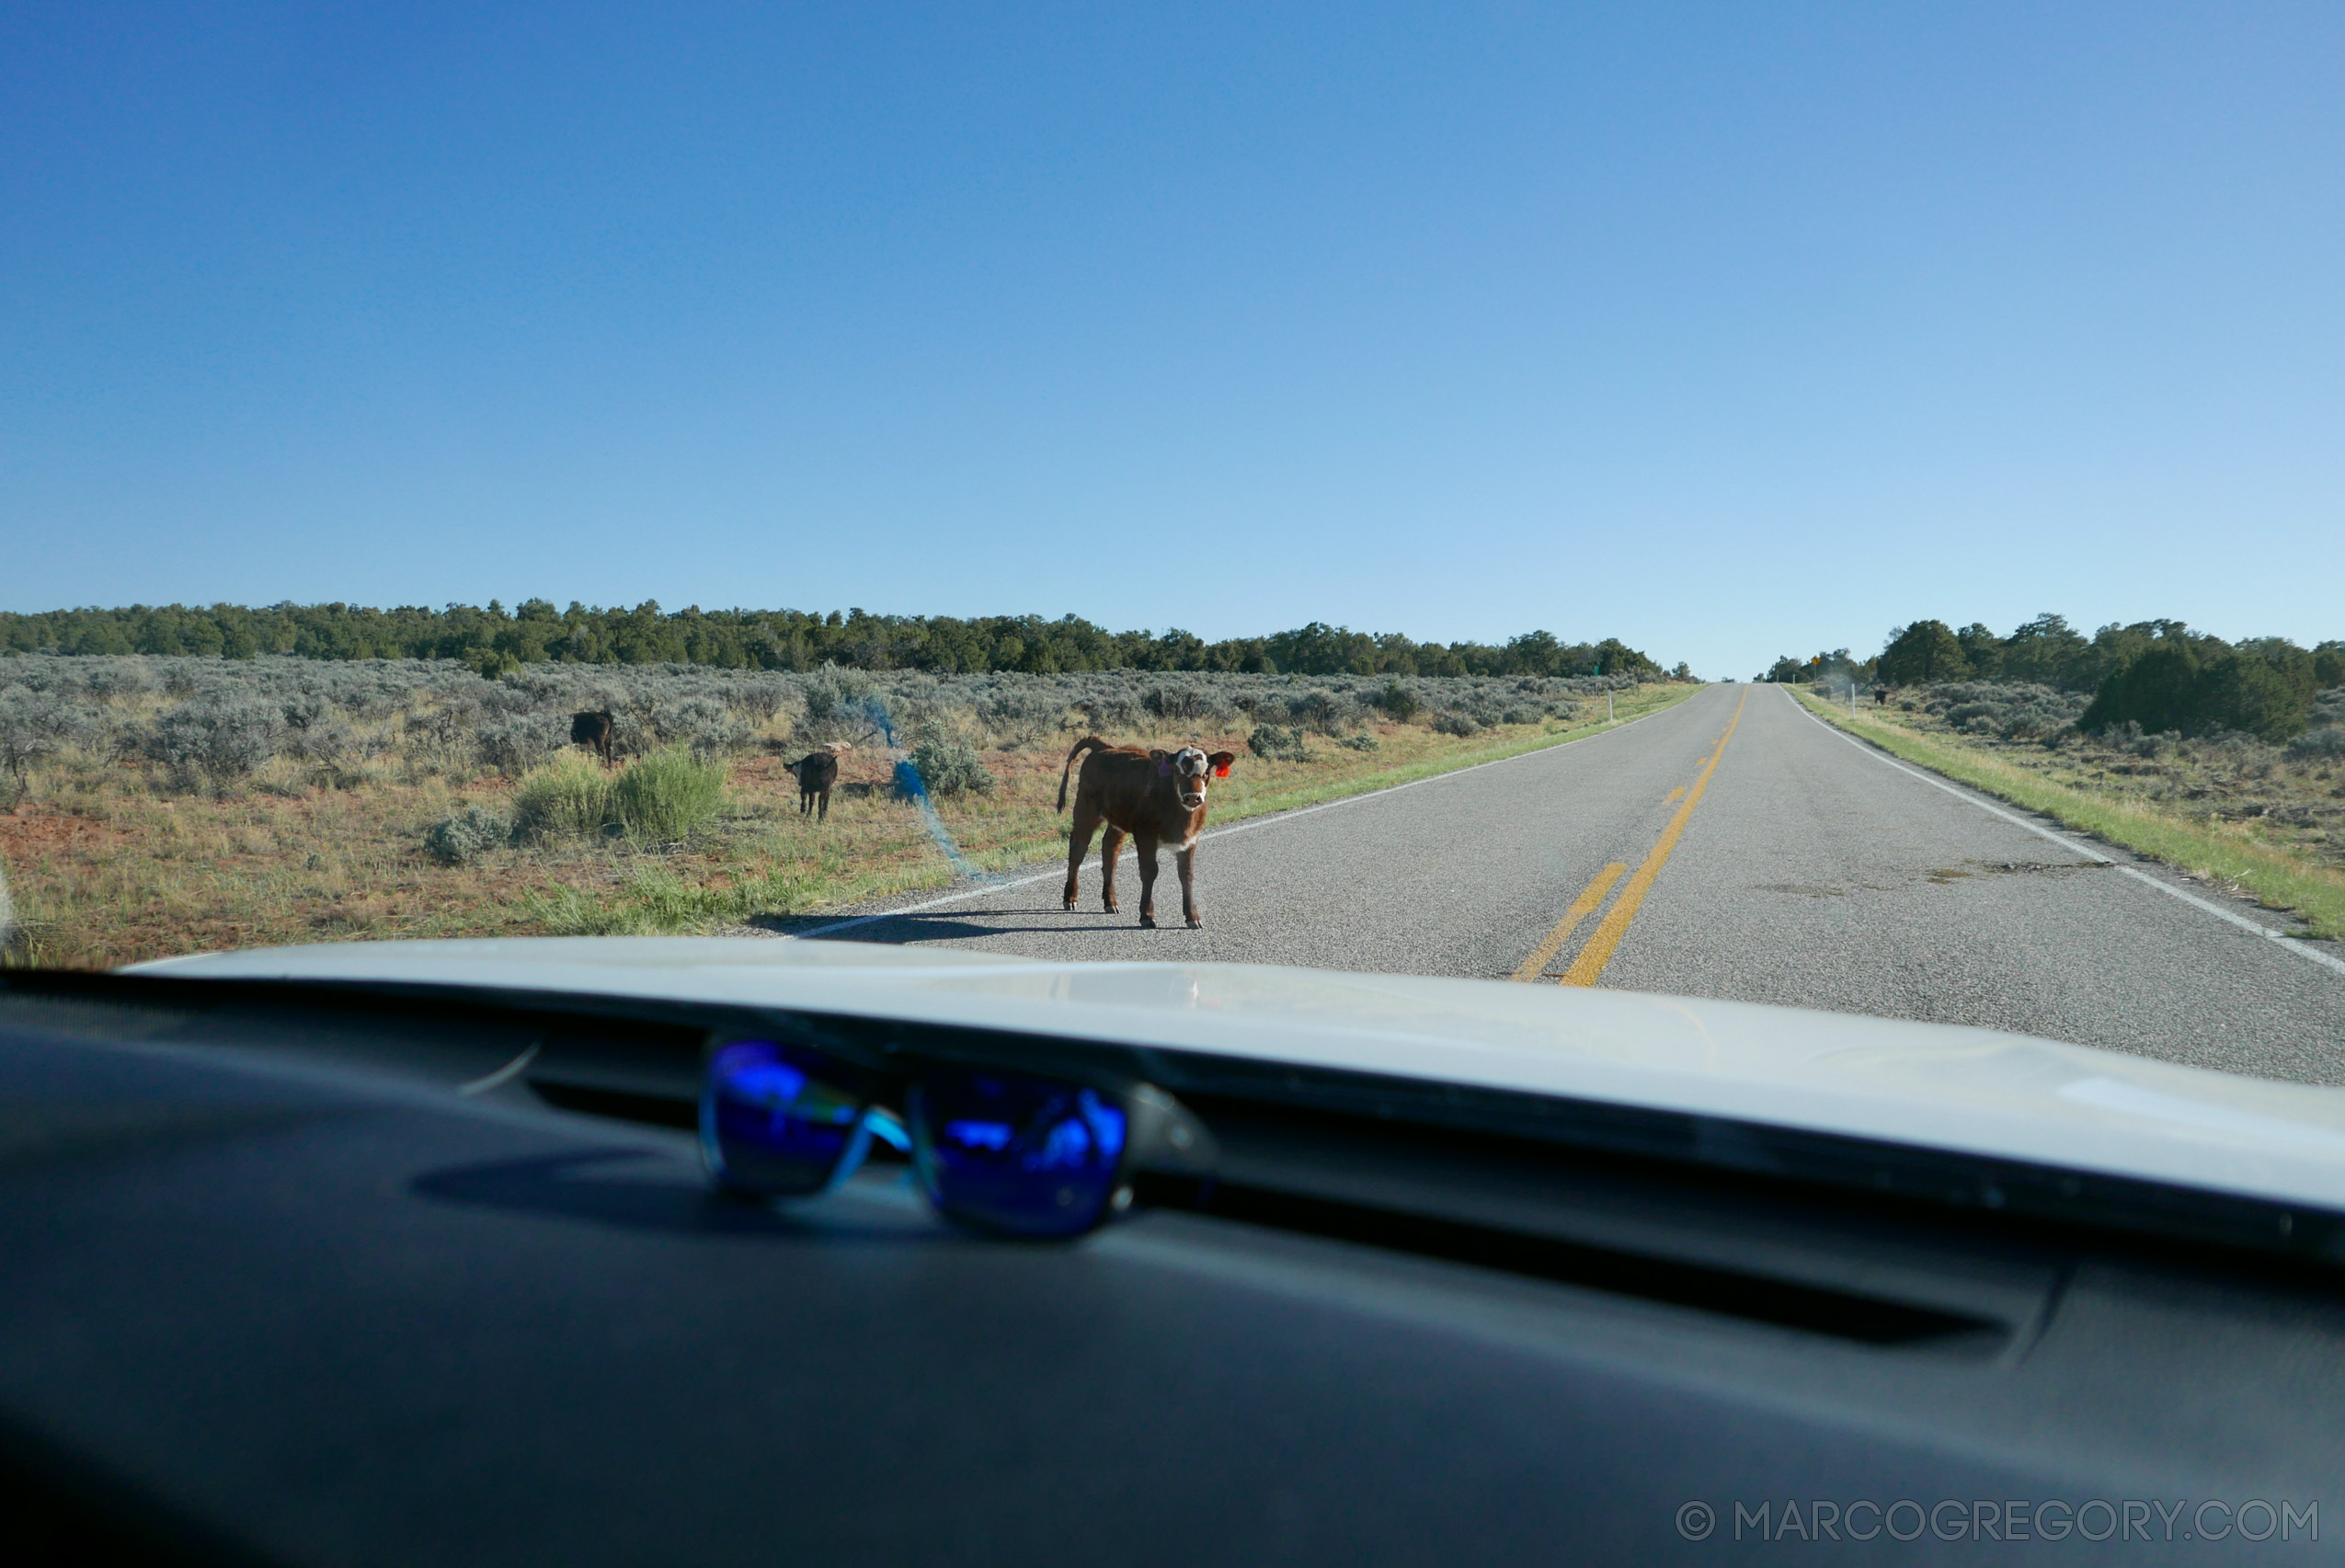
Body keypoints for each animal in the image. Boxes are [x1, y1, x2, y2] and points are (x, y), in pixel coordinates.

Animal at [1055, 736, 1238, 923]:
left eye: (1207, 772)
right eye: (1176, 770)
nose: (1193, 797)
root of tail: (1104, 747)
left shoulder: (1191, 838)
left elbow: (1186, 873)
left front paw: (1192, 916)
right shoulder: (1145, 835)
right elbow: (1149, 871)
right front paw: (1147, 915)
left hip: (1117, 820)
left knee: (1110, 850)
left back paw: (1110, 902)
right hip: (1085, 811)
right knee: (1078, 851)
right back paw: (1070, 898)